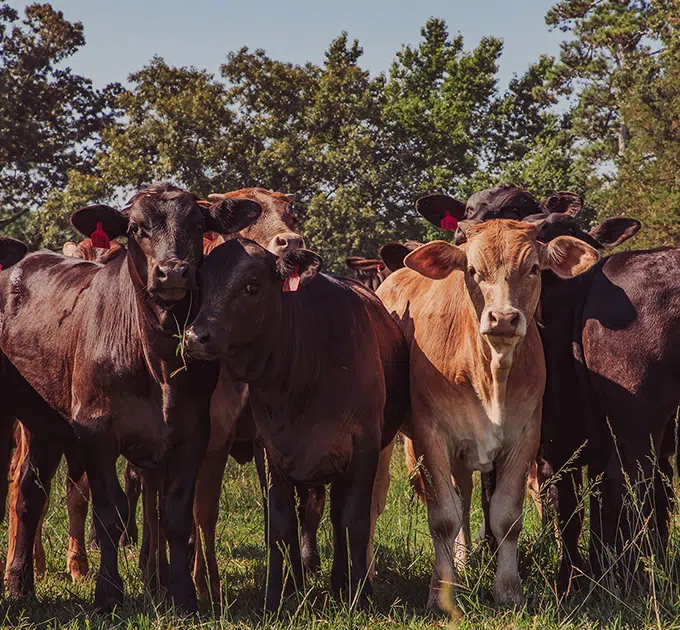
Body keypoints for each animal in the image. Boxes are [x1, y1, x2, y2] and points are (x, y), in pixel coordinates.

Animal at [0, 184, 260, 612]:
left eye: (198, 224)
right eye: (136, 228)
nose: (172, 271)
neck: (156, 361)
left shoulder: (192, 434)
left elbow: (175, 515)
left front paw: (183, 595)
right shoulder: (95, 432)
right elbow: (110, 513)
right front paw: (108, 593)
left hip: (47, 425)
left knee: (32, 493)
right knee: (28, 493)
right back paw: (19, 583)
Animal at [182, 239, 410, 608]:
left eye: (252, 286)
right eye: (201, 284)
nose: (194, 337)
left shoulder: (364, 447)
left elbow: (355, 521)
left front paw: (360, 594)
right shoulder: (271, 452)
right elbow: (280, 523)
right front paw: (276, 594)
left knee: (338, 518)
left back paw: (339, 581)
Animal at [374, 218, 596, 612]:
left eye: (533, 268)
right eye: (473, 270)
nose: (504, 318)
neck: (491, 373)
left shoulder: (524, 438)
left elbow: (504, 517)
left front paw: (508, 590)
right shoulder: (431, 436)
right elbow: (442, 519)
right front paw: (440, 592)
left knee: (462, 497)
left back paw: (463, 561)